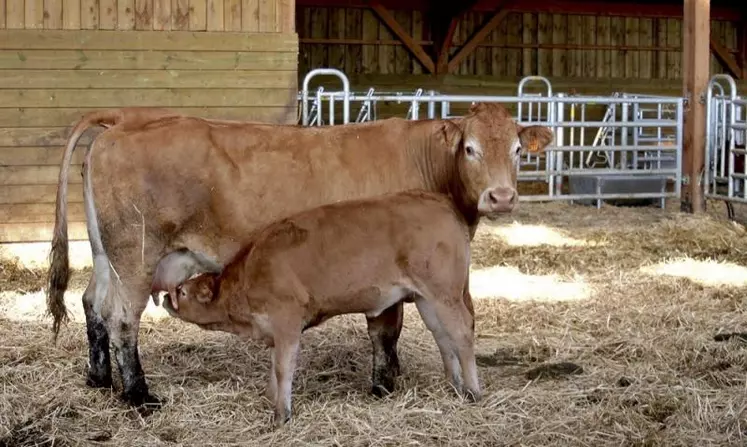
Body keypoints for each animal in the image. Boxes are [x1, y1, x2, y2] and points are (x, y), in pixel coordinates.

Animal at [156, 189, 480, 428]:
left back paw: (473, 391)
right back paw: (453, 385)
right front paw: (271, 399)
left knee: (462, 333)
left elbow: (283, 368)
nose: (166, 298)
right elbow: (274, 369)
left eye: (182, 291)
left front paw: (281, 415)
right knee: (443, 337)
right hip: (427, 298)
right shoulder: (274, 330)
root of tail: (437, 200)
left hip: (445, 293)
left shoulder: (287, 321)